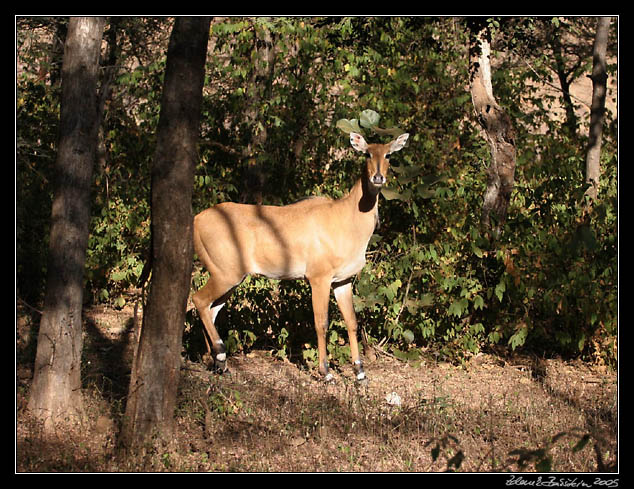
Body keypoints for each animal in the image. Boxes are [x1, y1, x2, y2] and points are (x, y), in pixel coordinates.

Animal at [194, 132, 410, 382]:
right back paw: (219, 354)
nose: (378, 177)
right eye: (366, 153)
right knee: (199, 300)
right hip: (225, 271)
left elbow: (352, 322)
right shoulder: (318, 276)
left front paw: (360, 372)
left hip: (231, 276)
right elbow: (321, 323)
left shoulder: (343, 280)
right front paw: (326, 372)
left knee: (211, 309)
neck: (350, 221)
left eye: (388, 155)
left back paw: (217, 362)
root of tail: (196, 220)